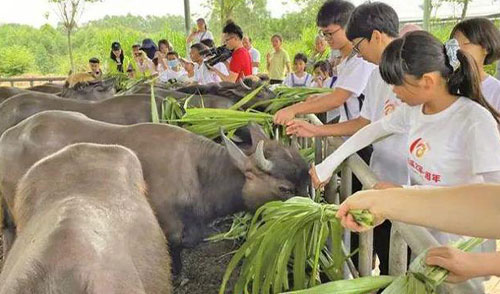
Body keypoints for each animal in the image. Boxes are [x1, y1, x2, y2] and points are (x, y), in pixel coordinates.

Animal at [0, 111, 310, 274]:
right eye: (284, 188)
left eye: (307, 178)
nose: (312, 210)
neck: (197, 172)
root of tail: (9, 136)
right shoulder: (167, 228)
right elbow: (173, 251)